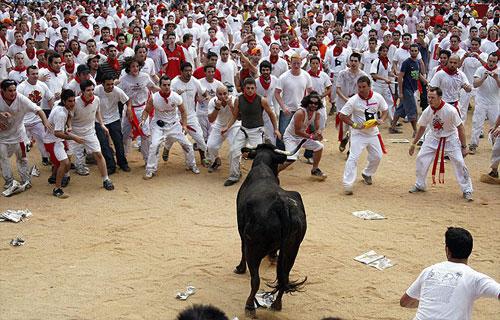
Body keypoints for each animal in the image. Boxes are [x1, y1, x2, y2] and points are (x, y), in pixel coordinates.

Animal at [235, 144, 308, 316]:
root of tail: (282, 204)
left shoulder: (241, 230)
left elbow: (241, 248)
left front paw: (240, 268)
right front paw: (272, 256)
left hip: (254, 248)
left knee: (255, 280)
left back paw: (249, 306)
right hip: (292, 249)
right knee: (284, 277)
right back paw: (277, 304)